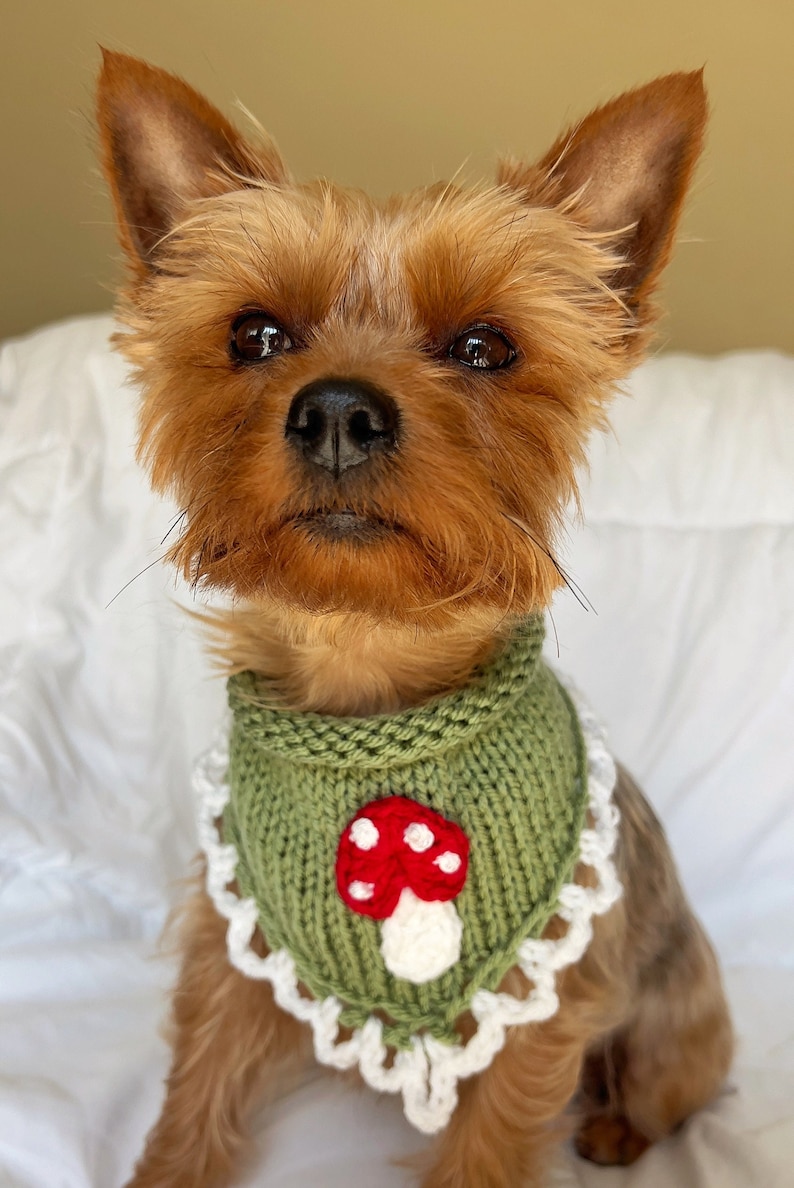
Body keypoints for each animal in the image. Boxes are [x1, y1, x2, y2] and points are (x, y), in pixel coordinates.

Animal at [97, 51, 732, 1183]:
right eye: (253, 334)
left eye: (484, 346)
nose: (338, 410)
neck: (372, 677)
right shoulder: (233, 939)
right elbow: (196, 1090)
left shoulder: (540, 1002)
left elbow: (492, 1140)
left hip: (674, 1003)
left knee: (672, 1082)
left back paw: (618, 1127)